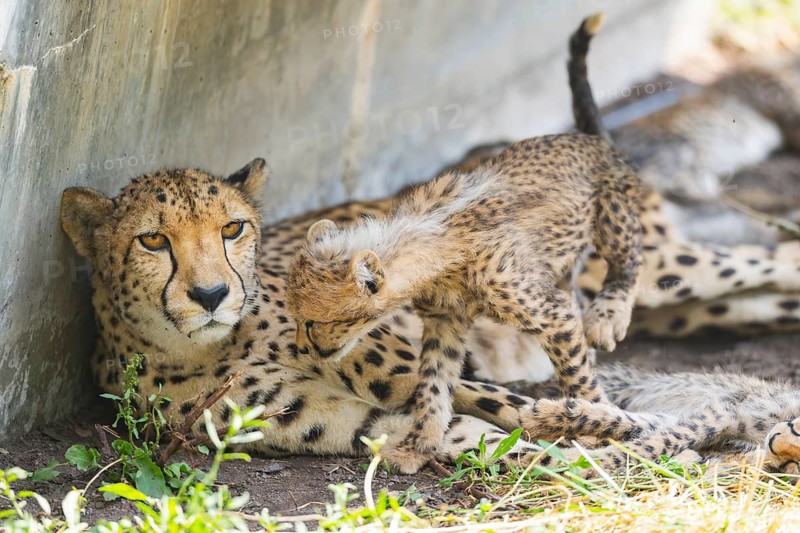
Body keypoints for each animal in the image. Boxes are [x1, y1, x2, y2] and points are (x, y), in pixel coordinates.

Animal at [59, 14, 800, 476]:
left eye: (232, 229)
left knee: (773, 259)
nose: (213, 294)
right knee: (765, 294)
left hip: (660, 269)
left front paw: (639, 431)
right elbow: (488, 438)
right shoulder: (363, 419)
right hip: (682, 303)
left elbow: (519, 408)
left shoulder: (413, 370)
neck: (209, 349)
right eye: (153, 239)